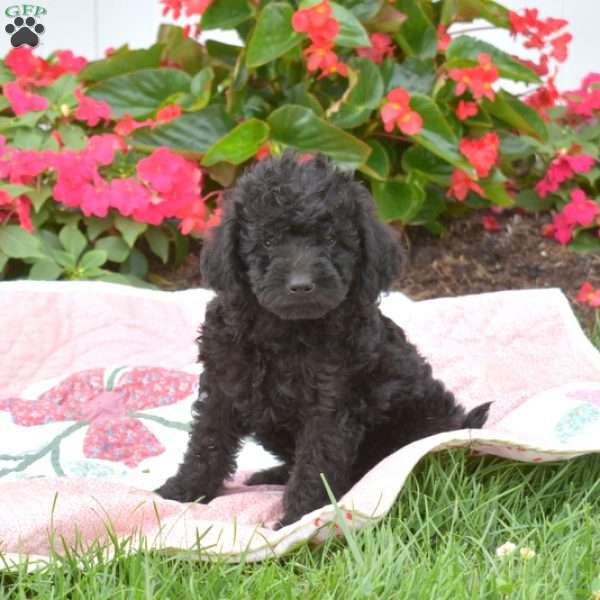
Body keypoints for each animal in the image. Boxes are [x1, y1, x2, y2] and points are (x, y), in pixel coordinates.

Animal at [155, 154, 488, 524]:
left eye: (330, 240)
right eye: (268, 241)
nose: (301, 285)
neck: (286, 330)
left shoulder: (331, 403)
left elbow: (316, 462)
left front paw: (298, 519)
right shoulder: (223, 383)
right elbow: (207, 441)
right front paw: (180, 492)